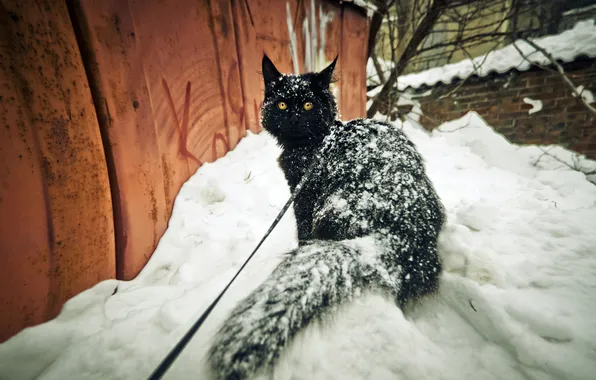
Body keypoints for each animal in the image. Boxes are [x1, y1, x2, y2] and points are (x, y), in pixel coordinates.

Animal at [207, 55, 444, 378]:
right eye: (282, 104)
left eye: (308, 104)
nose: (294, 117)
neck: (314, 144)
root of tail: (393, 238)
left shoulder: (302, 196)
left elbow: (301, 233)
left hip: (332, 206)